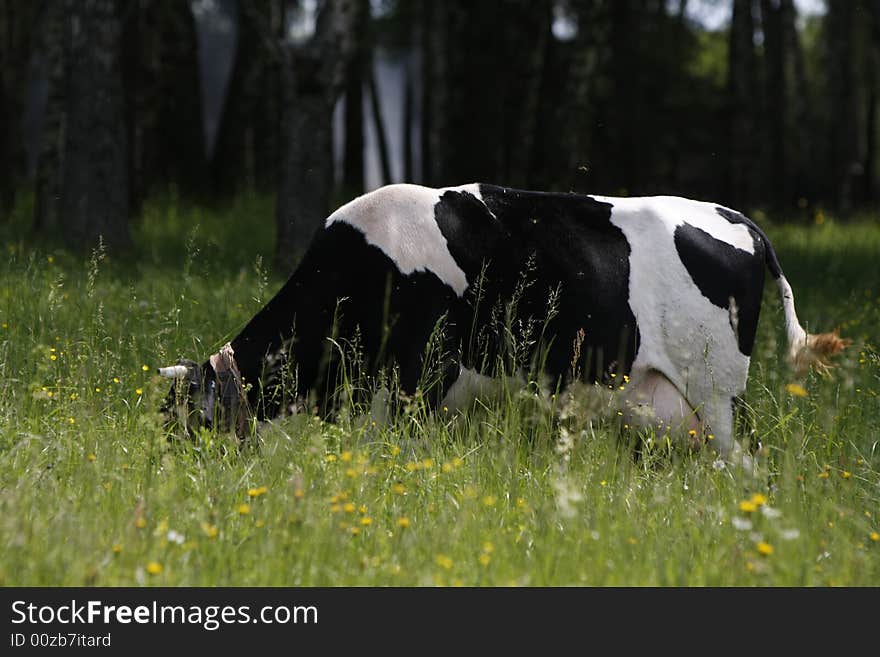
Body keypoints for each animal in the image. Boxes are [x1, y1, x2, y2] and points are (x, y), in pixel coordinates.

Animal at [156, 182, 844, 458]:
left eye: (192, 423)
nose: (173, 477)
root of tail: (738, 218)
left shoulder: (416, 385)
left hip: (718, 393)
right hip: (665, 402)